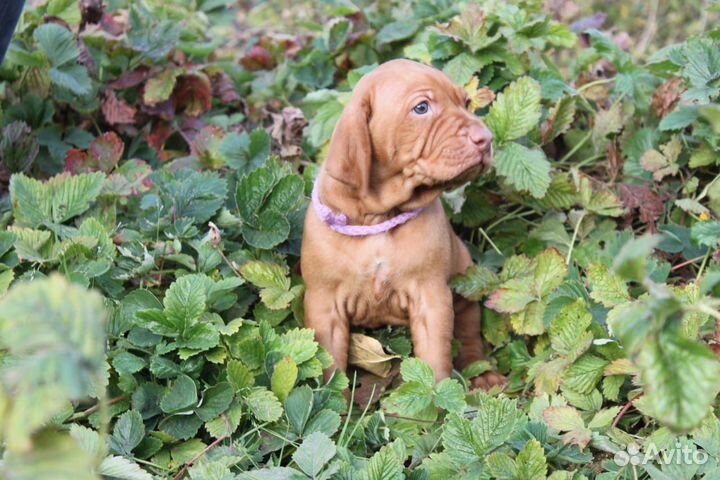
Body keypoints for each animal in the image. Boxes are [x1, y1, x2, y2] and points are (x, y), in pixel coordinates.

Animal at [302, 59, 506, 390]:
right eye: (421, 108)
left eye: (465, 103)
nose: (485, 139)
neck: (378, 217)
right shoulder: (324, 305)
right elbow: (331, 366)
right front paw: (332, 400)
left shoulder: (431, 299)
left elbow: (435, 359)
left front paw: (434, 399)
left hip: (462, 283)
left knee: (468, 332)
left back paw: (483, 375)